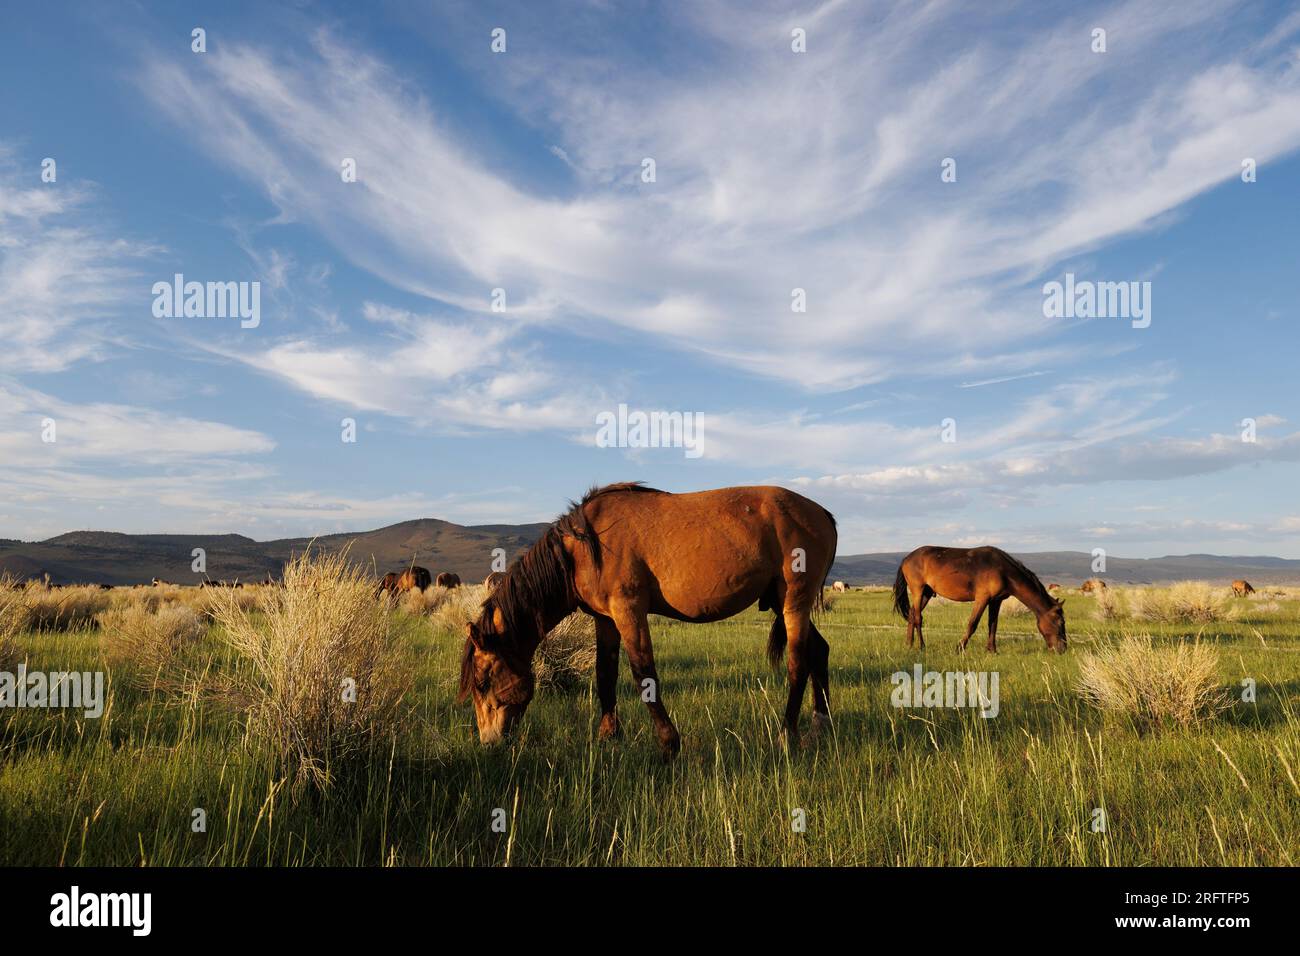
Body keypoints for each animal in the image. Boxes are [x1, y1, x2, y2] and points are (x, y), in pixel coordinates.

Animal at [457, 486, 842, 764]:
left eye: (482, 682)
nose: (488, 742)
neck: (583, 549)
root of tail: (822, 513)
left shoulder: (629, 611)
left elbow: (644, 675)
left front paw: (669, 743)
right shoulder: (606, 619)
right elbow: (605, 675)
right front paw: (609, 737)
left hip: (794, 602)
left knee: (798, 664)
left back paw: (787, 733)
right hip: (782, 602)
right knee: (819, 651)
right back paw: (820, 725)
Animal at [894, 548, 1066, 655]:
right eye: (1060, 622)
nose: (1063, 648)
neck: (1003, 571)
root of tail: (906, 558)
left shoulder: (995, 601)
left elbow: (993, 625)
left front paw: (992, 650)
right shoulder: (982, 598)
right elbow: (973, 624)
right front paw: (960, 648)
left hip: (927, 593)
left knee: (912, 615)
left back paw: (909, 644)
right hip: (918, 590)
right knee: (918, 618)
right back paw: (921, 646)